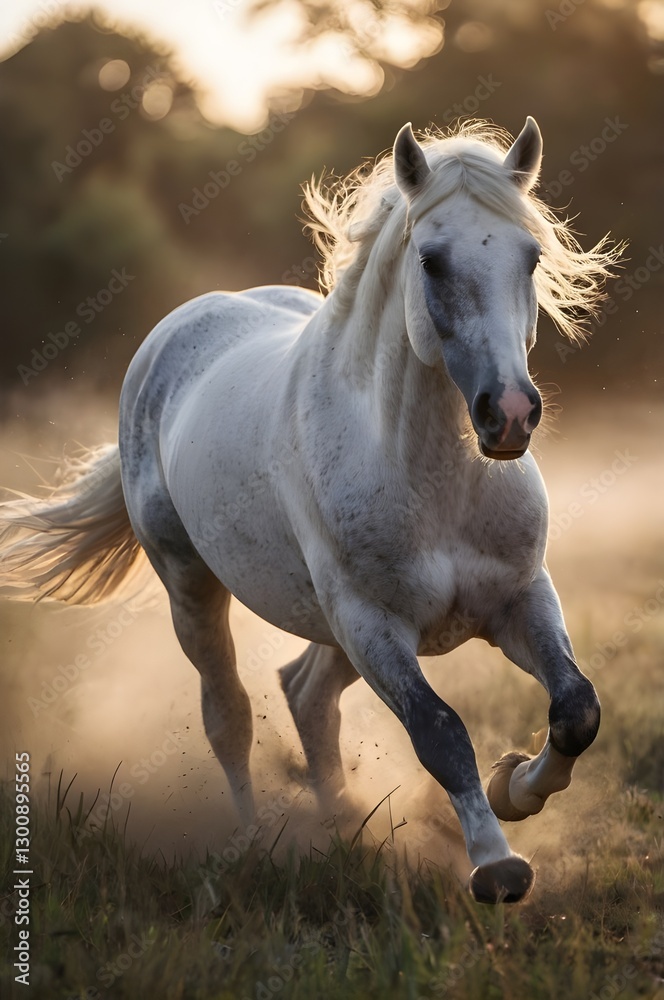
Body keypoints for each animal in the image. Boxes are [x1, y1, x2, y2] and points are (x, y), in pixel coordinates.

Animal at [0, 117, 620, 904]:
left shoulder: (519, 599)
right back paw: (257, 845)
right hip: (195, 589)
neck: (434, 480)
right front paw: (496, 866)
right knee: (231, 716)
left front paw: (514, 787)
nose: (508, 414)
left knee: (305, 695)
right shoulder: (372, 623)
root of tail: (173, 334)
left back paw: (345, 829)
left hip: (329, 626)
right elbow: (441, 732)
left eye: (531, 257)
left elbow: (576, 709)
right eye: (431, 261)